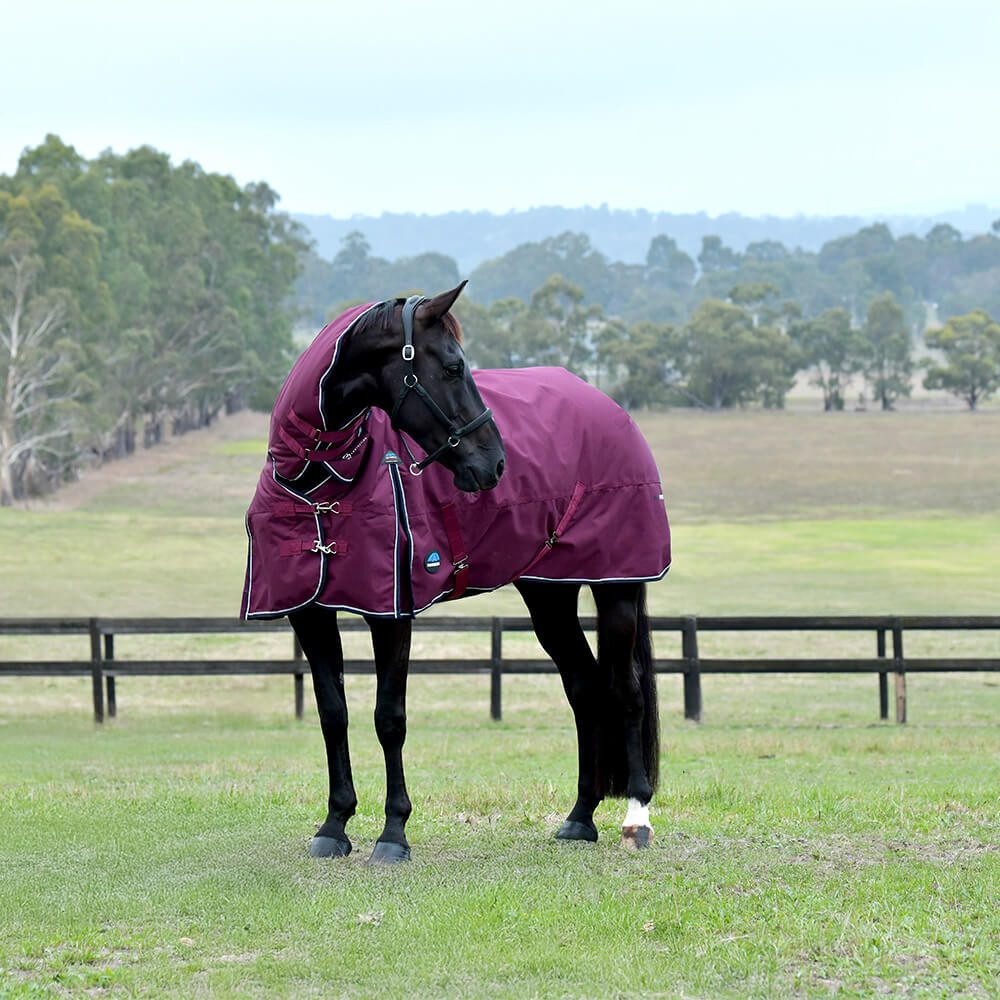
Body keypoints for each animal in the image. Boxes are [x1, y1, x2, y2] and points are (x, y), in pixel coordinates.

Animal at [241, 283, 671, 863]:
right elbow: (333, 713)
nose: (496, 464)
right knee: (584, 688)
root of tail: (609, 408)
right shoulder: (308, 613)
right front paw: (334, 825)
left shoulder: (391, 614)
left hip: (617, 588)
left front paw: (393, 833)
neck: (321, 482)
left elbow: (389, 718)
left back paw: (636, 817)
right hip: (549, 595)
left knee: (625, 692)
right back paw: (580, 818)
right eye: (451, 366)